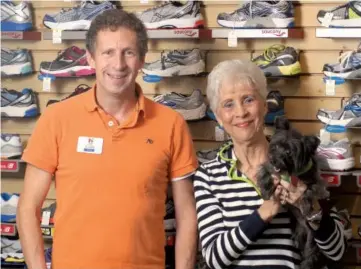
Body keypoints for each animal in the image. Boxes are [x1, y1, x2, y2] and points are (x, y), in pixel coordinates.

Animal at [256, 115, 330, 268]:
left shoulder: (317, 183)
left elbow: (310, 191)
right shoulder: (271, 168)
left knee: (310, 255)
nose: (274, 160)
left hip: (312, 242)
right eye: (275, 146)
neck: (290, 173)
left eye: (289, 152)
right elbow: (263, 170)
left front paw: (306, 205)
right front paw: (265, 189)